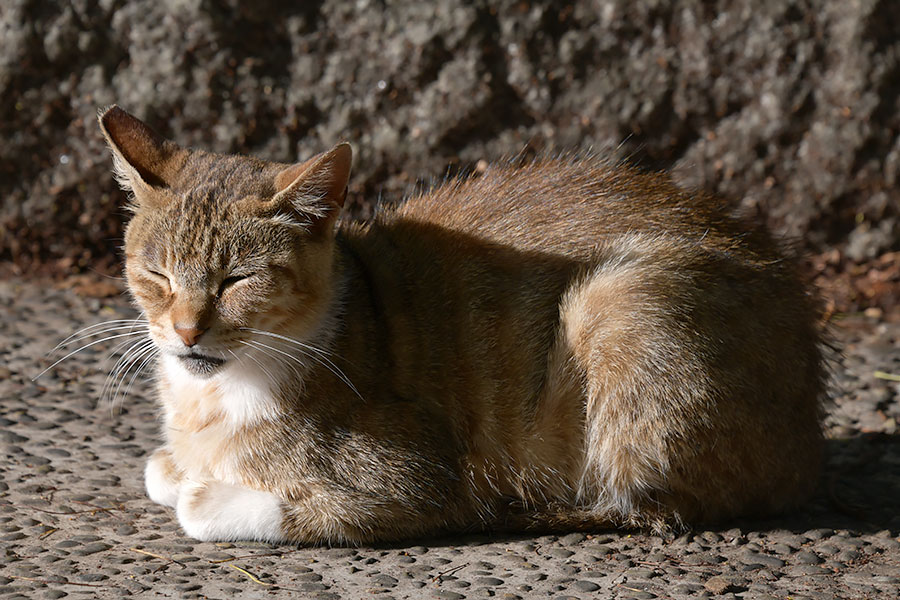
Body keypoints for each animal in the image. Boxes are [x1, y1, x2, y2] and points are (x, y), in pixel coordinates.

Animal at [95, 106, 828, 544]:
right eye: (158, 274)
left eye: (236, 280)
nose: (186, 332)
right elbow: (160, 470)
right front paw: (180, 466)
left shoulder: (420, 479)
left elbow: (217, 505)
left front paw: (211, 494)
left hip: (619, 299)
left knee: (652, 507)